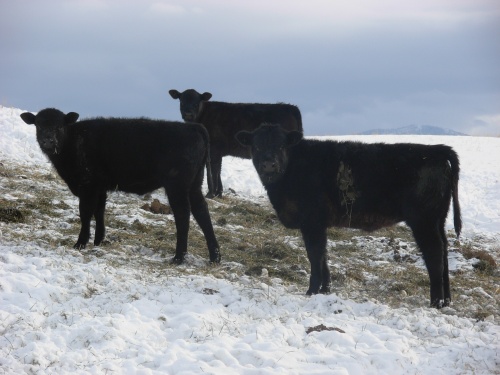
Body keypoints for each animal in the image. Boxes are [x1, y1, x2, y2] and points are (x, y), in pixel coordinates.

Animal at [20, 108, 219, 264]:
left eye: (59, 126)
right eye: (38, 125)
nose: (47, 141)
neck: (74, 140)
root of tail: (193, 127)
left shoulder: (88, 187)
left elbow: (85, 213)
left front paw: (80, 243)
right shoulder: (100, 188)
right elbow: (99, 212)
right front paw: (98, 241)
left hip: (177, 185)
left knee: (183, 214)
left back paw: (178, 257)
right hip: (194, 185)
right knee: (202, 211)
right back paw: (215, 257)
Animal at [168, 89, 302, 198]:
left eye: (197, 101)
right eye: (182, 100)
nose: (188, 113)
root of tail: (291, 107)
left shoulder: (213, 149)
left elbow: (213, 170)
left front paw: (211, 193)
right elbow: (218, 169)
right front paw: (219, 192)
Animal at [236, 125, 462, 310]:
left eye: (282, 145)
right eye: (257, 146)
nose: (269, 165)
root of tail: (435, 151)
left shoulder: (311, 222)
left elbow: (315, 255)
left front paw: (311, 291)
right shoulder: (319, 224)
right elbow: (323, 256)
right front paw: (325, 290)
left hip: (424, 221)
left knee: (435, 254)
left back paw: (435, 302)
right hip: (438, 220)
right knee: (444, 251)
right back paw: (447, 301)